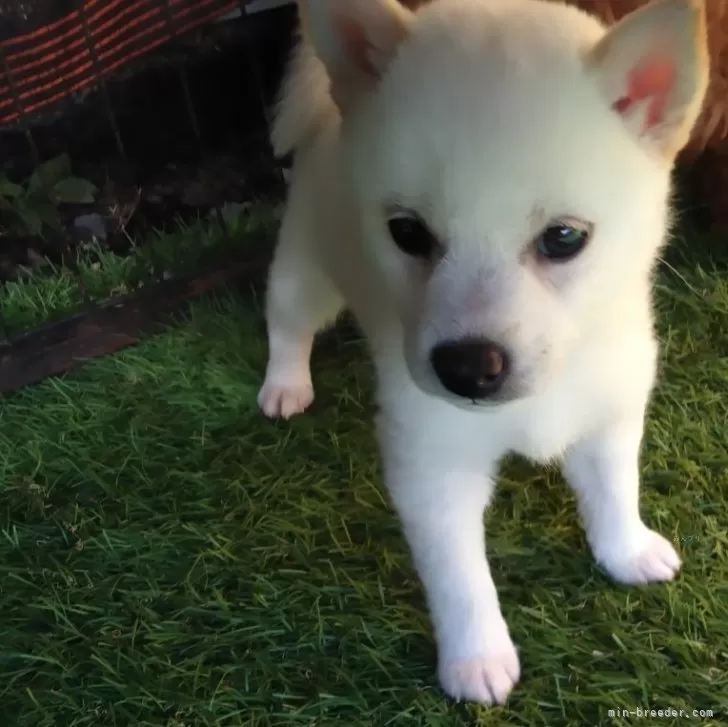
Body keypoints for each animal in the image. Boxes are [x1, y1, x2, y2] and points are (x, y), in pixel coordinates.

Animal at [255, 0, 704, 704]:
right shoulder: (432, 463)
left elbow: (614, 488)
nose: (467, 368)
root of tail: (332, 110)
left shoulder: (609, 412)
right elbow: (458, 576)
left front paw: (626, 549)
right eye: (407, 233)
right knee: (287, 320)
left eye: (565, 238)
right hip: (307, 267)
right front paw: (476, 657)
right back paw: (284, 384)